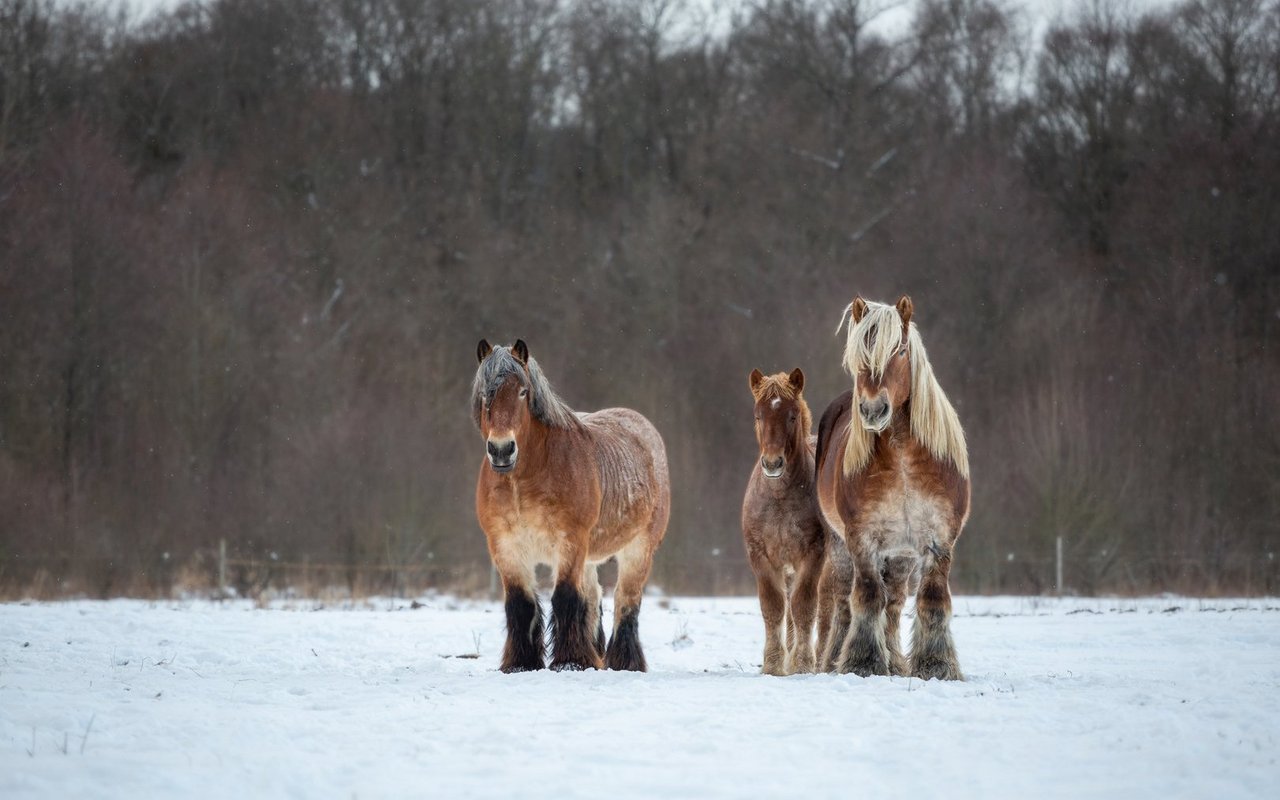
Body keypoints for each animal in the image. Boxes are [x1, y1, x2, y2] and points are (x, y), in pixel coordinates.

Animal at [472, 339, 670, 672]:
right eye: (485, 392)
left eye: (523, 391)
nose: (501, 450)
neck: (523, 481)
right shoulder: (505, 546)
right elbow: (521, 603)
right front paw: (521, 663)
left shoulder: (569, 541)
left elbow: (565, 598)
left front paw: (570, 662)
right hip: (588, 557)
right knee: (593, 597)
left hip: (638, 549)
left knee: (626, 601)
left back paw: (624, 662)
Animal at [741, 368, 827, 675]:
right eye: (758, 415)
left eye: (791, 416)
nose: (772, 463)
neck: (780, 498)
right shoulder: (760, 556)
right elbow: (774, 606)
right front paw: (775, 664)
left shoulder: (813, 555)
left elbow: (804, 606)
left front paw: (803, 663)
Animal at [814, 295, 970, 680]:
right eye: (860, 353)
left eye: (899, 350)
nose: (873, 409)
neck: (903, 460)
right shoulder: (861, 538)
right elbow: (868, 598)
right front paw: (862, 662)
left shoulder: (939, 539)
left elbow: (932, 600)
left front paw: (936, 666)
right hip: (841, 548)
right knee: (845, 603)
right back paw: (836, 659)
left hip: (901, 555)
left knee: (896, 602)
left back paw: (897, 663)